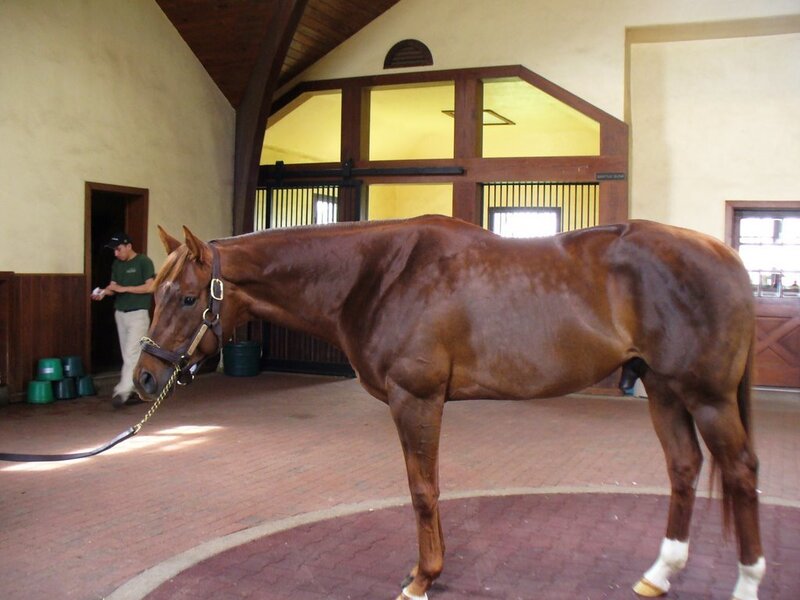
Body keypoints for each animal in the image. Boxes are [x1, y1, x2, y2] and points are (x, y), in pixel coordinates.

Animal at [134, 215, 764, 600]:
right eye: (154, 294)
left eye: (187, 297)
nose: (144, 377)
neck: (378, 274)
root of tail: (726, 257)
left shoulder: (416, 399)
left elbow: (422, 490)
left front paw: (423, 577)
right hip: (664, 389)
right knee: (684, 467)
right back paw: (659, 574)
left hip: (706, 397)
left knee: (739, 473)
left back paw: (747, 581)